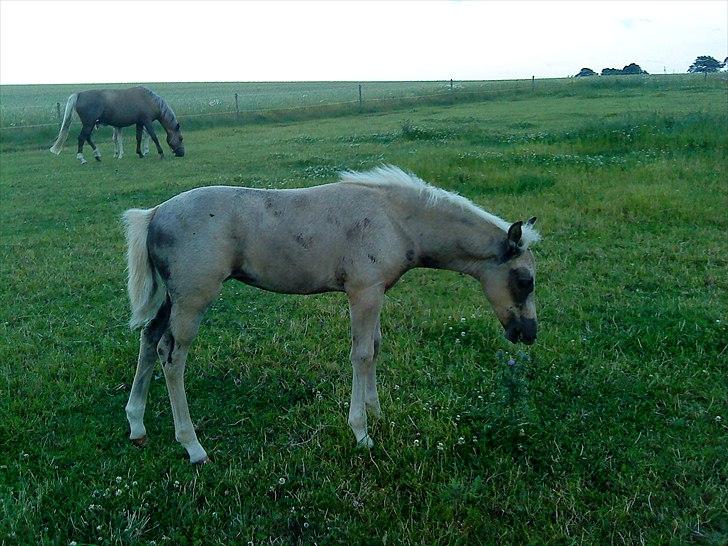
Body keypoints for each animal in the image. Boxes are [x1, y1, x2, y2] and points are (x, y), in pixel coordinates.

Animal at [49, 86, 183, 164]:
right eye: (181, 138)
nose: (182, 153)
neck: (149, 100)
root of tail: (79, 94)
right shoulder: (147, 121)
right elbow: (154, 137)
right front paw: (161, 153)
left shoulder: (139, 123)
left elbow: (138, 138)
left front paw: (140, 153)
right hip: (89, 123)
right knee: (82, 138)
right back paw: (82, 158)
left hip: (89, 124)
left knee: (87, 137)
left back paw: (97, 155)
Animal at [121, 164, 540, 462]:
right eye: (524, 280)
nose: (528, 333)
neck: (395, 220)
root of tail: (154, 213)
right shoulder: (363, 293)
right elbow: (362, 354)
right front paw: (361, 432)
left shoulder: (376, 293)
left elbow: (375, 348)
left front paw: (377, 412)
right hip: (193, 299)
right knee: (171, 356)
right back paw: (192, 446)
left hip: (174, 299)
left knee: (149, 338)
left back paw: (137, 424)